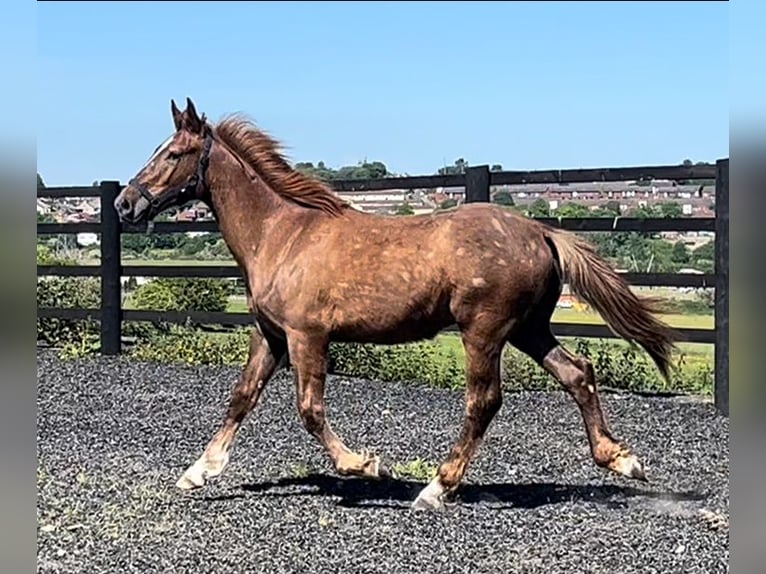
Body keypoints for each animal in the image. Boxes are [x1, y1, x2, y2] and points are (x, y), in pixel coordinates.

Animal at [114, 98, 678, 511]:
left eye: (171, 154)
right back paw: (622, 460)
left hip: (484, 331)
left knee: (484, 401)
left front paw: (367, 464)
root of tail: (540, 230)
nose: (124, 202)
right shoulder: (270, 334)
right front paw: (198, 472)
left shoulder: (306, 335)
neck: (282, 234)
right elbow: (241, 397)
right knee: (578, 373)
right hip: (528, 328)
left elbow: (310, 411)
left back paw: (436, 487)